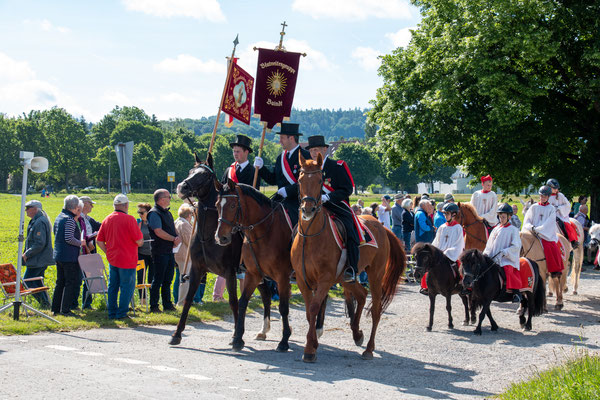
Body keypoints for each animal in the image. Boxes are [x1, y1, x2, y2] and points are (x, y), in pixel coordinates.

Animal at [169, 153, 272, 346]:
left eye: (205, 175)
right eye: (191, 171)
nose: (181, 187)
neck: (209, 235)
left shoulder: (230, 272)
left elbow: (234, 301)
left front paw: (237, 337)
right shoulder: (196, 269)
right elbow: (188, 299)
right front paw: (176, 334)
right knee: (266, 294)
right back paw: (263, 331)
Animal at [214, 180, 294, 352]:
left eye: (232, 205)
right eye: (217, 205)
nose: (221, 237)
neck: (264, 232)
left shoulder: (283, 277)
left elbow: (284, 307)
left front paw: (284, 341)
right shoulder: (253, 274)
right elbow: (243, 301)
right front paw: (238, 339)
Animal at [292, 153, 408, 362]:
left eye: (321, 180)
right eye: (300, 180)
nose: (308, 209)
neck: (311, 238)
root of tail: (381, 226)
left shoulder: (324, 280)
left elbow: (314, 308)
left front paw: (310, 349)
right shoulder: (303, 280)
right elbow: (308, 312)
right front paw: (313, 343)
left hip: (375, 275)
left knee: (376, 309)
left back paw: (369, 349)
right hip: (345, 278)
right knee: (361, 294)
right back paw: (357, 334)